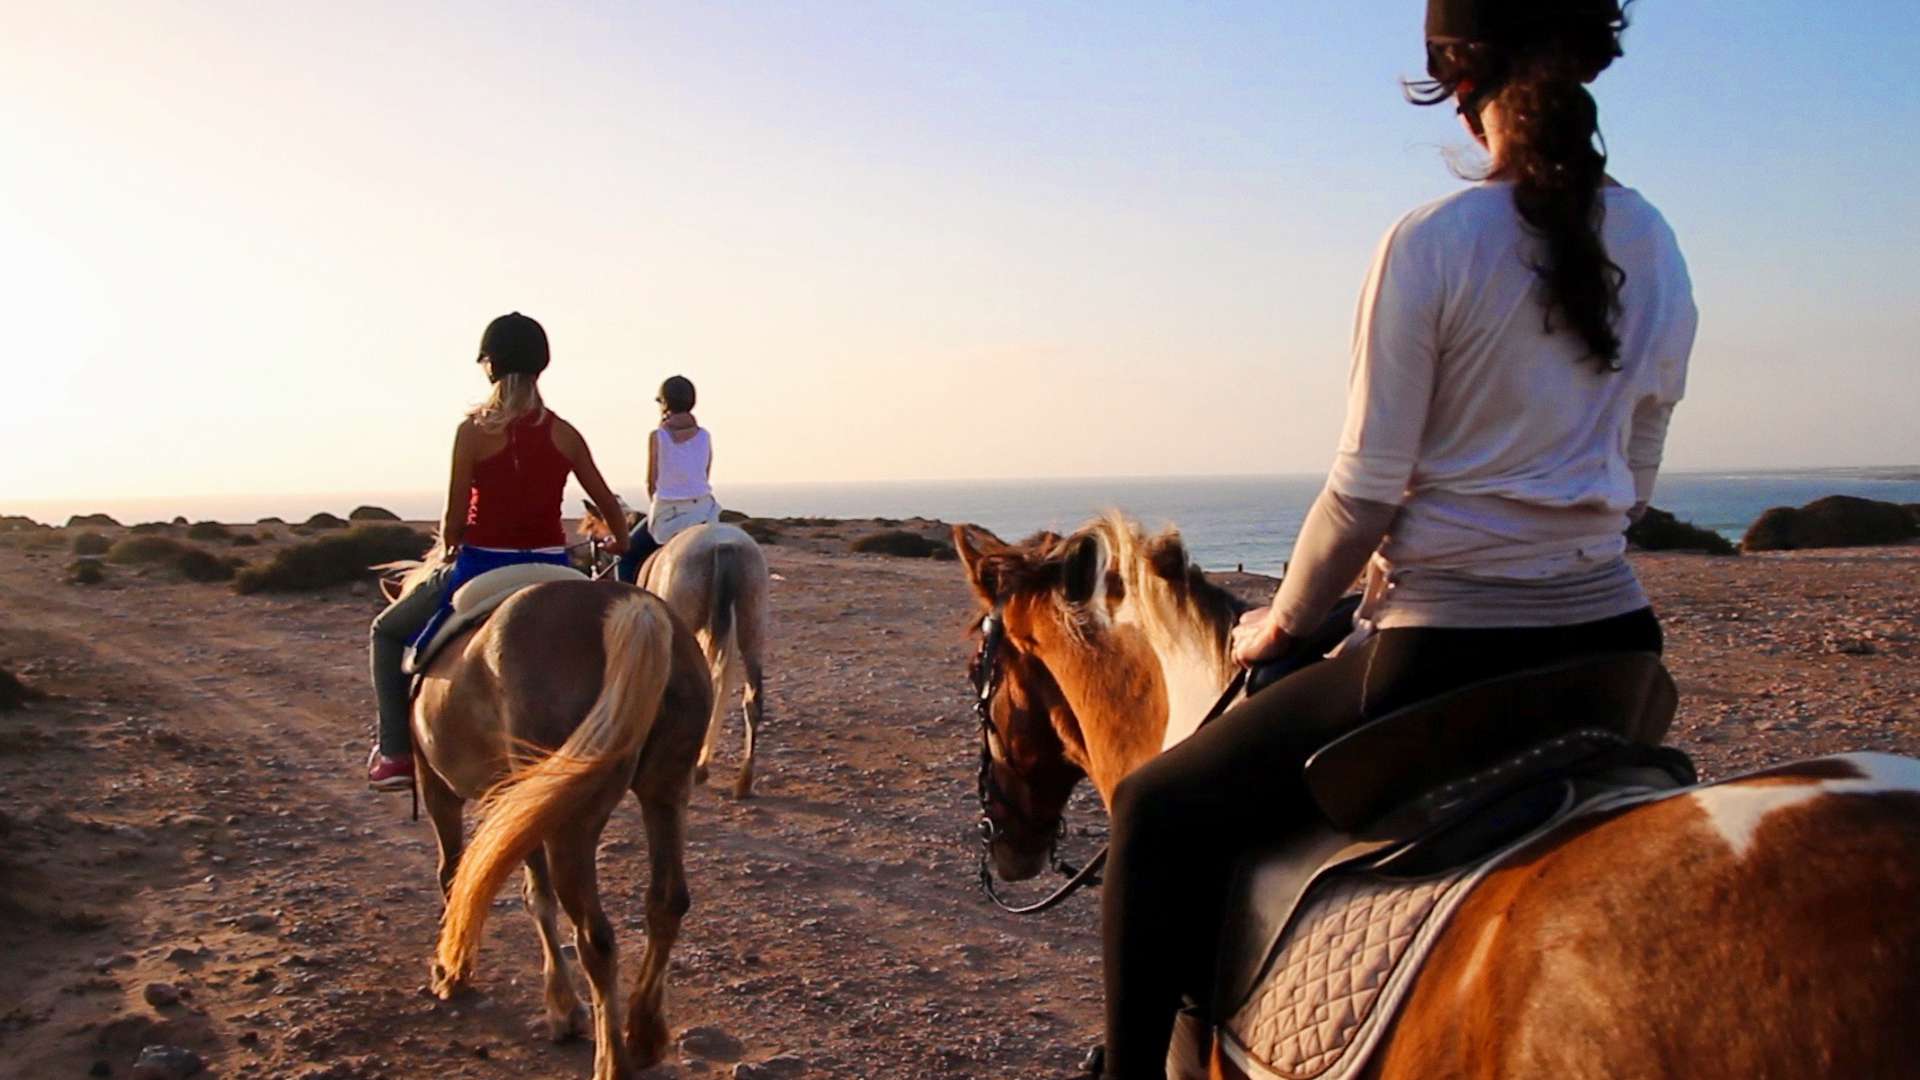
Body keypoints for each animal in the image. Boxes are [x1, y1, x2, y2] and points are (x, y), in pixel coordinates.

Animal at [389, 553, 714, 1076]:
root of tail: (631, 610)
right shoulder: (521, 806)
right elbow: (530, 894)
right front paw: (563, 1007)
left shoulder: (445, 791)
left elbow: (461, 876)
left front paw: (453, 970)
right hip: (662, 792)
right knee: (666, 903)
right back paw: (643, 1035)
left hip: (570, 823)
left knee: (595, 936)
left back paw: (612, 1060)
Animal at [579, 499, 768, 795]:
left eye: (590, 530)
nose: (592, 569)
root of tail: (724, 545)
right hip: (751, 629)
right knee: (752, 699)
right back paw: (741, 780)